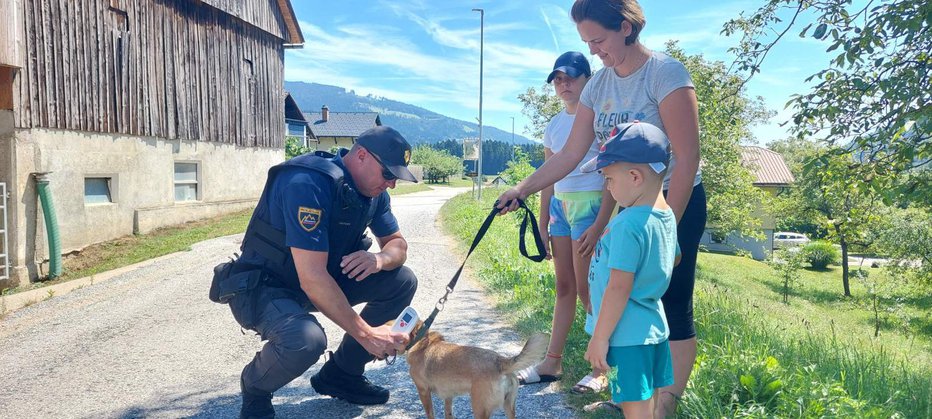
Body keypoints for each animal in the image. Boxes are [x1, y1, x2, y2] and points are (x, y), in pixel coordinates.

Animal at [402, 324, 548, 419]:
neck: (425, 342)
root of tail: (500, 361)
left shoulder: (423, 391)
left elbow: (430, 413)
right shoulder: (448, 395)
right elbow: (448, 412)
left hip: (479, 408)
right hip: (509, 407)